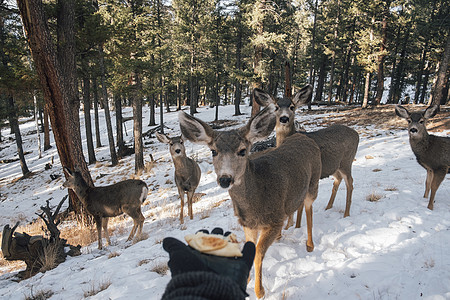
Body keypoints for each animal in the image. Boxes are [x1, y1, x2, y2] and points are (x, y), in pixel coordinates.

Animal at [178, 103, 322, 298]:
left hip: (314, 182)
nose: (225, 179)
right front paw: (244, 281)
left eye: (242, 151)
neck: (256, 202)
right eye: (214, 151)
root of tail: (304, 137)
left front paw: (259, 291)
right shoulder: (247, 223)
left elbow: (259, 253)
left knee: (309, 208)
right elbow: (249, 249)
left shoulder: (274, 219)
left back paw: (309, 245)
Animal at [255, 85, 360, 229]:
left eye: (292, 106)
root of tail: (357, 134)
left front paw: (294, 227)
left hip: (346, 161)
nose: (284, 118)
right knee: (338, 179)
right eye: (276, 106)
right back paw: (328, 207)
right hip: (334, 166)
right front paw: (289, 226)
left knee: (350, 182)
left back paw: (346, 214)